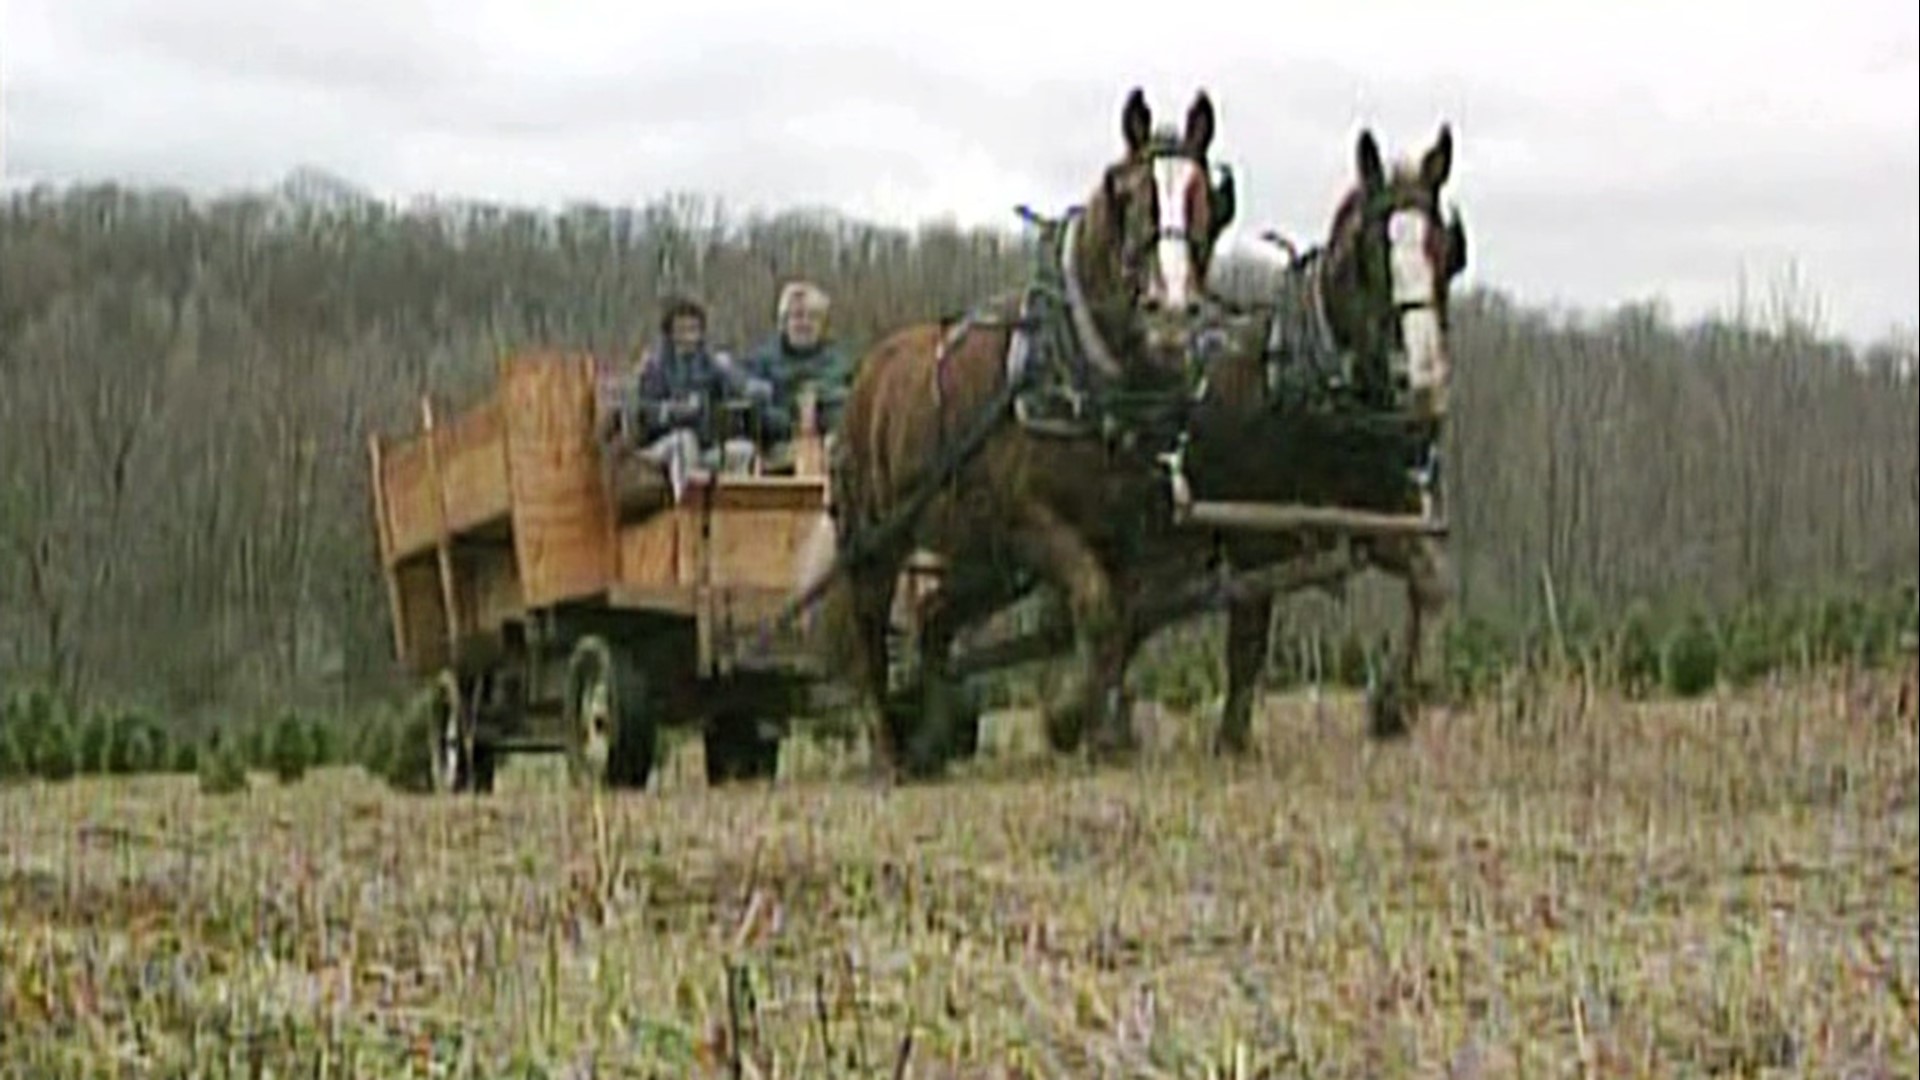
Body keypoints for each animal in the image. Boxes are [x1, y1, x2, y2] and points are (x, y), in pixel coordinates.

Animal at [791, 84, 1228, 772]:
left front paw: (1106, 733)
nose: (1173, 313)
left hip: (979, 555)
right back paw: (888, 748)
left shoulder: (1130, 532)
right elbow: (1096, 609)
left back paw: (931, 740)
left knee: (936, 621)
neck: (1086, 374)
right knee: (869, 630)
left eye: (1205, 197)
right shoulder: (1032, 525)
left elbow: (1123, 622)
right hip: (881, 536)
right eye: (1131, 197)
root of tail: (867, 377)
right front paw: (1070, 720)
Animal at [1113, 125, 1466, 745]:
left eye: (1446, 251)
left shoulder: (1380, 520)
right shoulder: (1256, 535)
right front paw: (1232, 739)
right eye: (1373, 254)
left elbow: (1430, 580)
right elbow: (1248, 640)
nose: (1423, 381)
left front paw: (1396, 702)